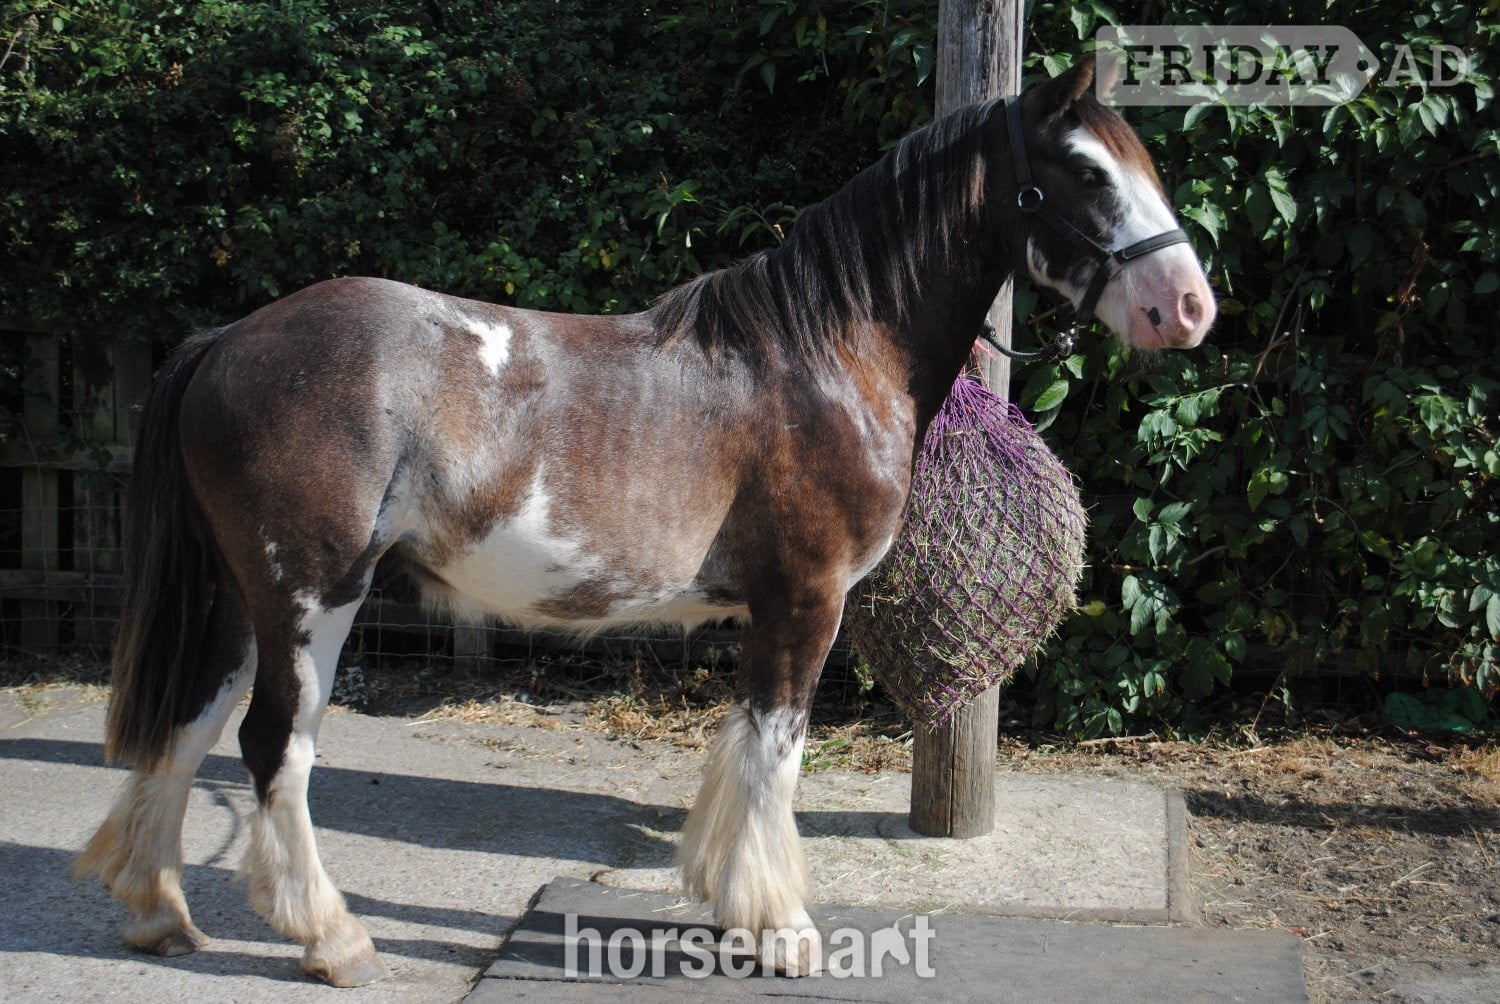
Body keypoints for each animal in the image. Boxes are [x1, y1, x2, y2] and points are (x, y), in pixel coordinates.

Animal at [75, 54, 1214, 985]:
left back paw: (160, 912)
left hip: (245, 600)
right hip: (312, 596)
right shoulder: (806, 600)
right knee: (276, 744)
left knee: (190, 725)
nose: (1191, 307)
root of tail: (228, 340)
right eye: (1087, 173)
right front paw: (780, 930)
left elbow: (745, 749)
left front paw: (727, 900)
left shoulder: (767, 609)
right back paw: (331, 938)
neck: (826, 353)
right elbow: (778, 752)